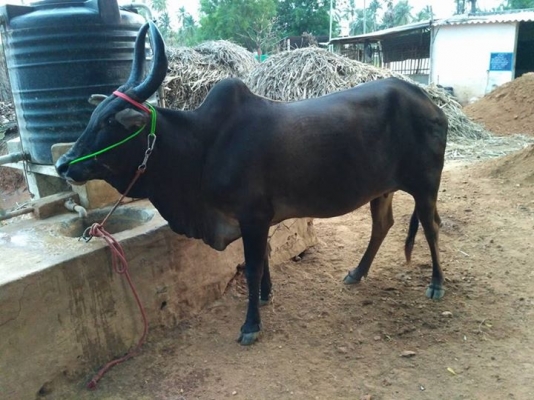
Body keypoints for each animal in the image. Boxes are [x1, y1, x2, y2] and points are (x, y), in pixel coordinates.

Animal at [56, 22, 448, 345]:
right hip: (381, 188)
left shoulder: (252, 215)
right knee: (383, 224)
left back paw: (436, 284)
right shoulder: (258, 219)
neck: (202, 146)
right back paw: (357, 273)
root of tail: (431, 103)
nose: (62, 164)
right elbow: (264, 259)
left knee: (431, 227)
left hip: (425, 184)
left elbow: (254, 264)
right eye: (93, 117)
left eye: (110, 123)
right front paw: (265, 295)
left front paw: (250, 325)